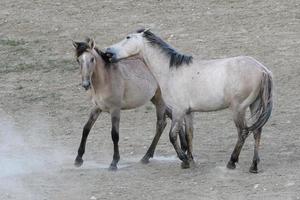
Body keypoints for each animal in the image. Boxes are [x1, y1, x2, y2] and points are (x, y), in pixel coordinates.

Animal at [71, 38, 186, 170]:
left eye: (92, 59)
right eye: (78, 60)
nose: (85, 84)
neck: (105, 80)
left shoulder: (115, 109)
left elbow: (114, 135)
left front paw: (114, 162)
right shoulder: (96, 108)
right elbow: (86, 129)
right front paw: (78, 159)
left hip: (159, 100)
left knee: (161, 124)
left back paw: (147, 156)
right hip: (154, 99)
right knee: (173, 117)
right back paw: (183, 148)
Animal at [104, 28, 274, 173]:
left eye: (128, 37)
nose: (108, 52)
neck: (171, 71)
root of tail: (262, 70)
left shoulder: (178, 111)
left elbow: (172, 135)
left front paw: (184, 160)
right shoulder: (188, 112)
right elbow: (189, 135)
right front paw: (191, 160)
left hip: (239, 109)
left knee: (243, 132)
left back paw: (232, 162)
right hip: (254, 105)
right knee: (257, 131)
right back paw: (254, 166)